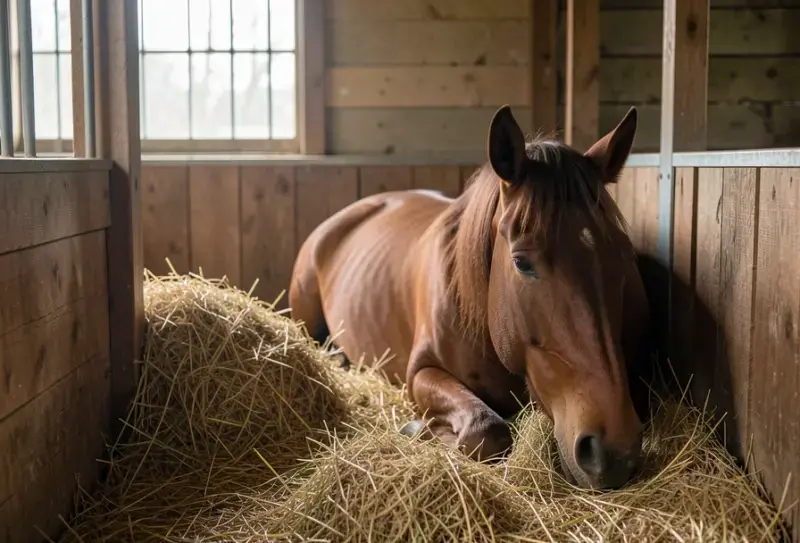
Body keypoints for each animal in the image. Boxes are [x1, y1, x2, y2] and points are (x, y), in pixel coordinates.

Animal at [288, 105, 652, 490]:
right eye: (522, 262)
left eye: (624, 254)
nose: (614, 451)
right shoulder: (421, 373)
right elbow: (486, 428)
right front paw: (416, 428)